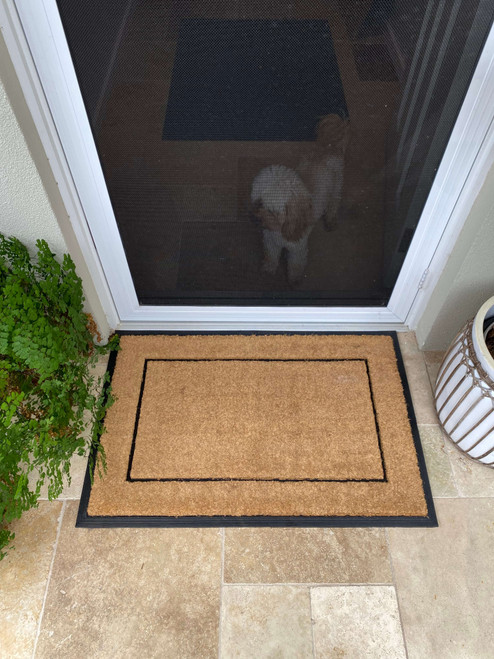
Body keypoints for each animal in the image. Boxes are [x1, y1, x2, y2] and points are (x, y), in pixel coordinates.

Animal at [251, 114, 352, 284]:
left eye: (272, 210)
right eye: (259, 202)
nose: (256, 219)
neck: (281, 228)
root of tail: (329, 146)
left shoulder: (297, 250)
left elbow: (295, 266)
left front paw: (293, 281)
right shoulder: (271, 243)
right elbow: (271, 258)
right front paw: (268, 270)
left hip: (336, 186)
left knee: (334, 202)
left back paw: (330, 220)